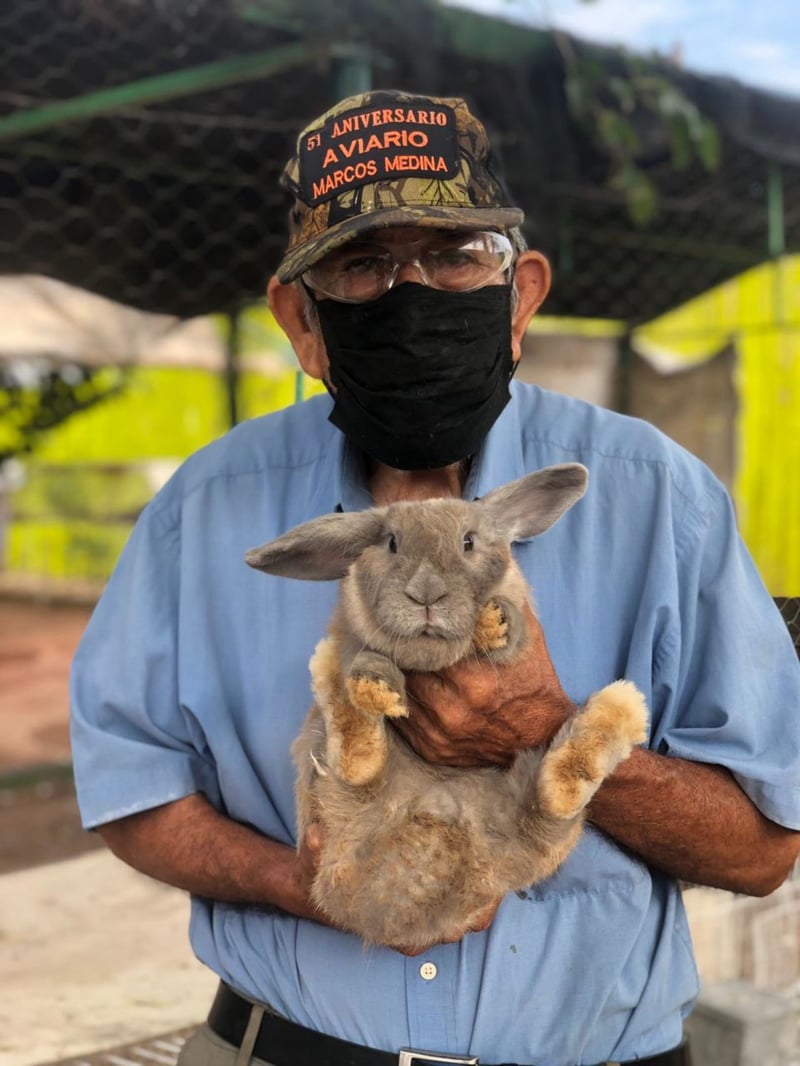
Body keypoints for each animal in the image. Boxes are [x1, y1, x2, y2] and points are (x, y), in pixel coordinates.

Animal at [247, 464, 648, 950]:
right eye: (392, 543)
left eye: (469, 542)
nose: (425, 594)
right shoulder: (356, 636)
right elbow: (363, 653)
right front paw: (374, 682)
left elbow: (513, 629)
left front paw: (494, 623)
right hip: (333, 802)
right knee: (358, 766)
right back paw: (344, 681)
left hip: (540, 835)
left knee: (552, 803)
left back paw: (621, 708)